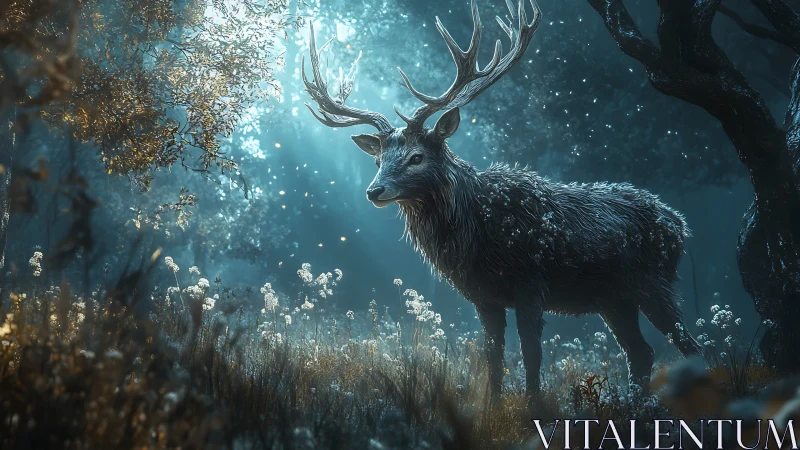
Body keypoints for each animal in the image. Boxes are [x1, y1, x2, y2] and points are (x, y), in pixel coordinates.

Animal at [302, 0, 702, 400]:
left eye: (416, 157)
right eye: (378, 161)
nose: (374, 191)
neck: (478, 232)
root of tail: (680, 225)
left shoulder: (531, 283)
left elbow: (531, 353)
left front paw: (533, 407)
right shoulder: (484, 296)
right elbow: (492, 355)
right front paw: (492, 406)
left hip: (653, 281)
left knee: (690, 345)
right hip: (613, 298)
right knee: (641, 351)